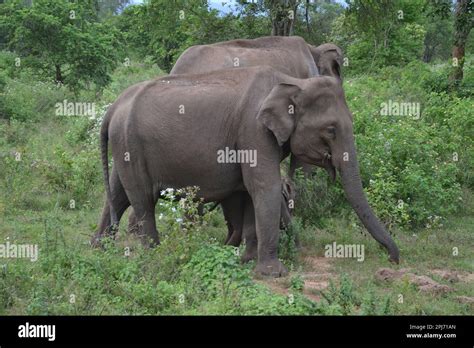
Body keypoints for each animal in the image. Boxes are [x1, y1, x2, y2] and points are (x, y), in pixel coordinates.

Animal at [91, 66, 400, 278]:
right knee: (142, 199)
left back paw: (98, 250)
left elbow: (251, 193)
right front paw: (273, 273)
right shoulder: (253, 131)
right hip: (130, 143)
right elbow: (265, 187)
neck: (292, 82)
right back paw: (154, 255)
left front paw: (247, 261)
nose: (393, 260)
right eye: (331, 130)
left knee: (118, 195)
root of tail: (114, 106)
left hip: (125, 145)